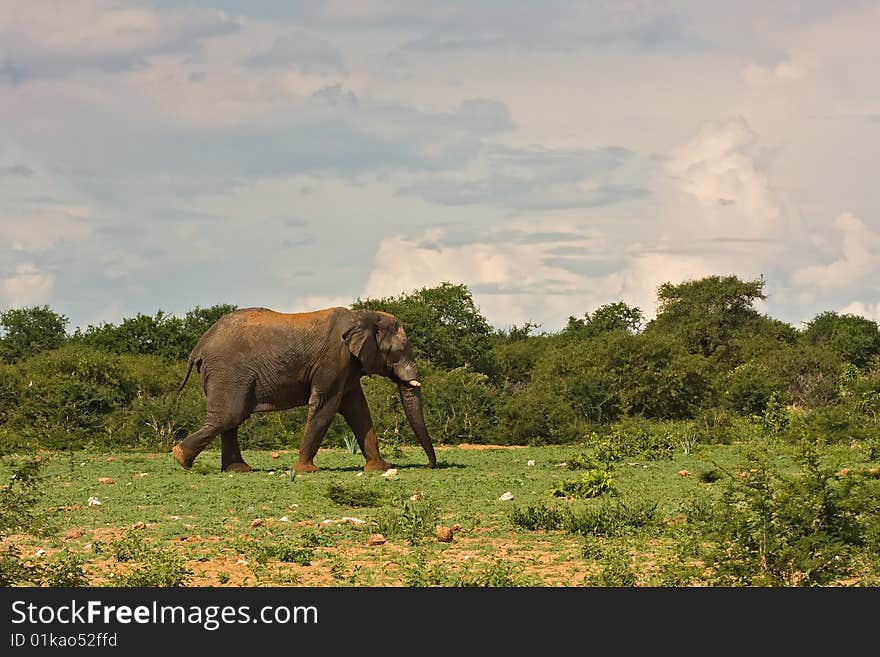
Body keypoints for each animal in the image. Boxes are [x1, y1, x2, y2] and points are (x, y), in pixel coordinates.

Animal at [169, 306, 436, 472]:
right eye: (399, 351)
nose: (430, 465)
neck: (364, 315)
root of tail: (199, 346)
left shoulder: (348, 367)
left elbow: (358, 410)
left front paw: (381, 468)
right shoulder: (333, 359)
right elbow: (326, 405)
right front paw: (307, 470)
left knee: (230, 420)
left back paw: (237, 469)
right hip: (228, 372)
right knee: (231, 416)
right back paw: (180, 457)